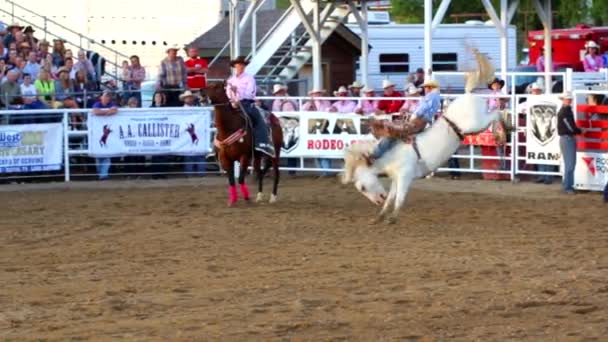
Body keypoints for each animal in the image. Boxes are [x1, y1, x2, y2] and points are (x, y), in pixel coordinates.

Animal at [342, 48, 508, 224]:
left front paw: (392, 218)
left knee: (496, 113)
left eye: (362, 187)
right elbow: (392, 197)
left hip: (476, 123)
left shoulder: (405, 176)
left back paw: (503, 132)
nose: (379, 199)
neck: (391, 154)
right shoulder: (396, 178)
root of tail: (468, 94)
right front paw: (380, 215)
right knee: (494, 114)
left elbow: (399, 198)